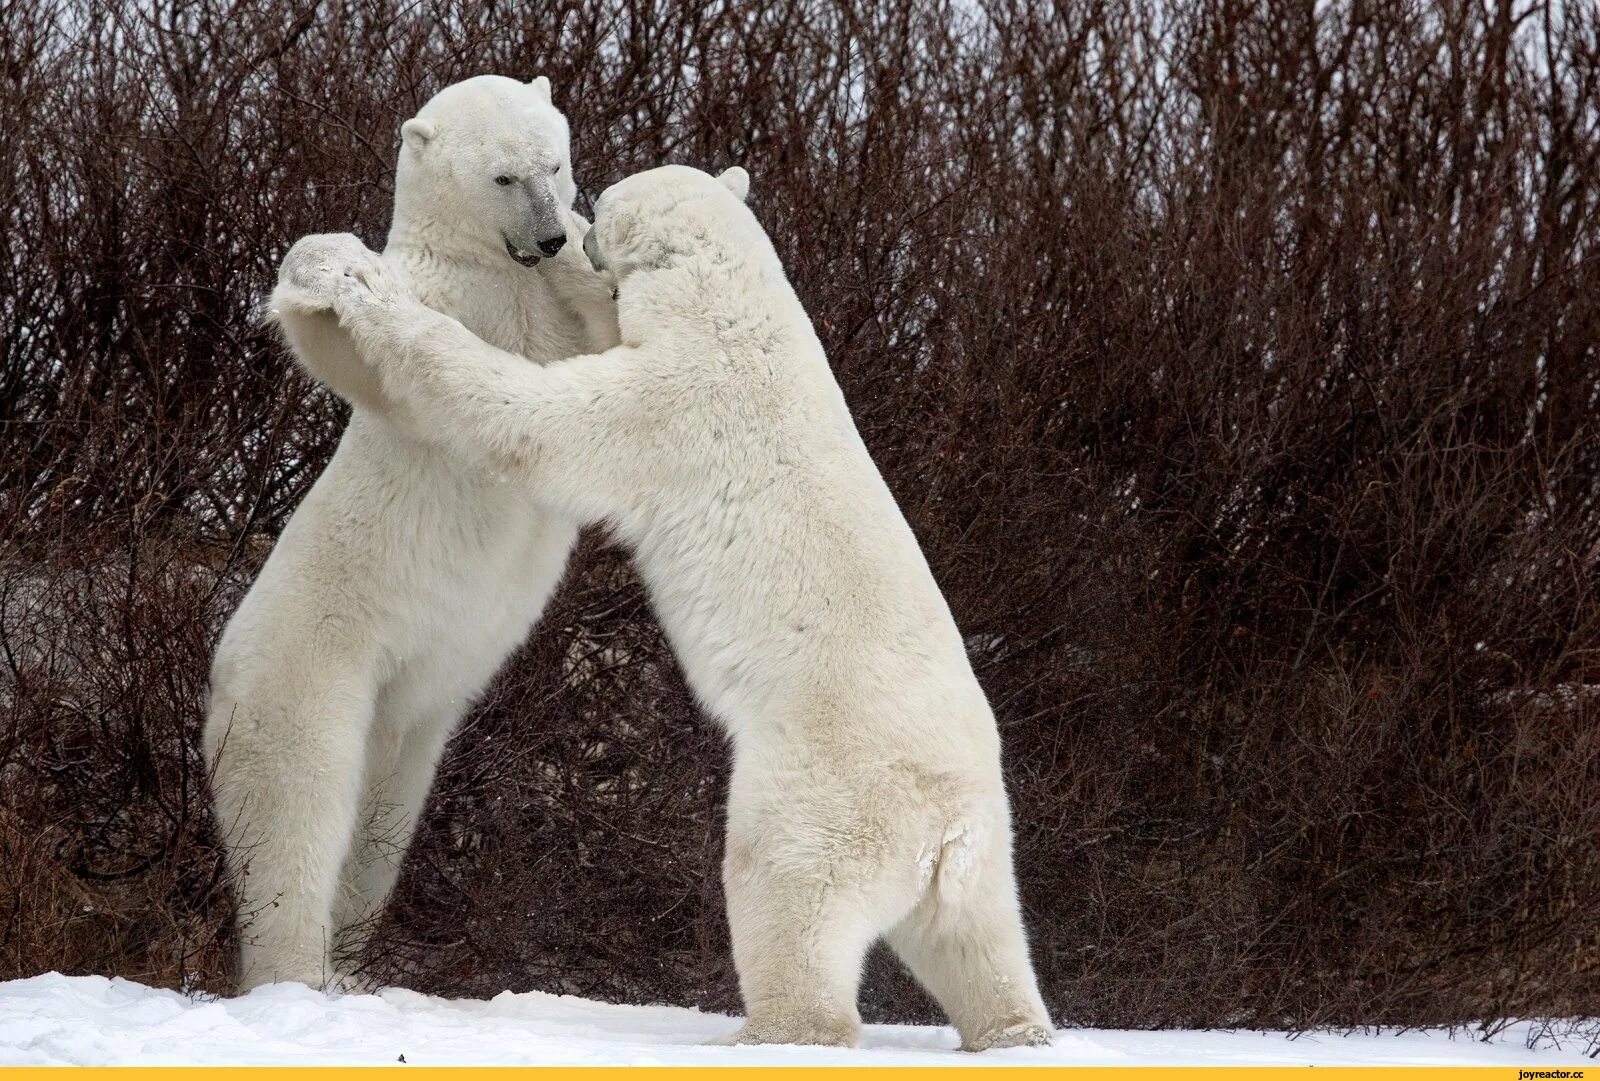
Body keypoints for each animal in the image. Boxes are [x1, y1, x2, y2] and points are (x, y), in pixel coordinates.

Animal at [206, 71, 617, 991]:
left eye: (554, 161)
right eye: (503, 176)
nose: (546, 236)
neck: (494, 269)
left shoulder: (545, 309)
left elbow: (611, 345)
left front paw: (594, 247)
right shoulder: (449, 299)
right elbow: (360, 351)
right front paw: (330, 267)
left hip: (414, 720)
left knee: (381, 829)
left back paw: (355, 961)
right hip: (309, 673)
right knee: (296, 815)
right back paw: (296, 971)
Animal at [275, 162, 1049, 1049]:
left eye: (606, 200)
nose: (575, 227)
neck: (738, 312)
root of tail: (943, 828)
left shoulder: (676, 403)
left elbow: (535, 418)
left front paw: (362, 288)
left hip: (822, 793)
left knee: (786, 891)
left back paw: (768, 1029)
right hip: (986, 850)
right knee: (981, 942)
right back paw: (1016, 1029)